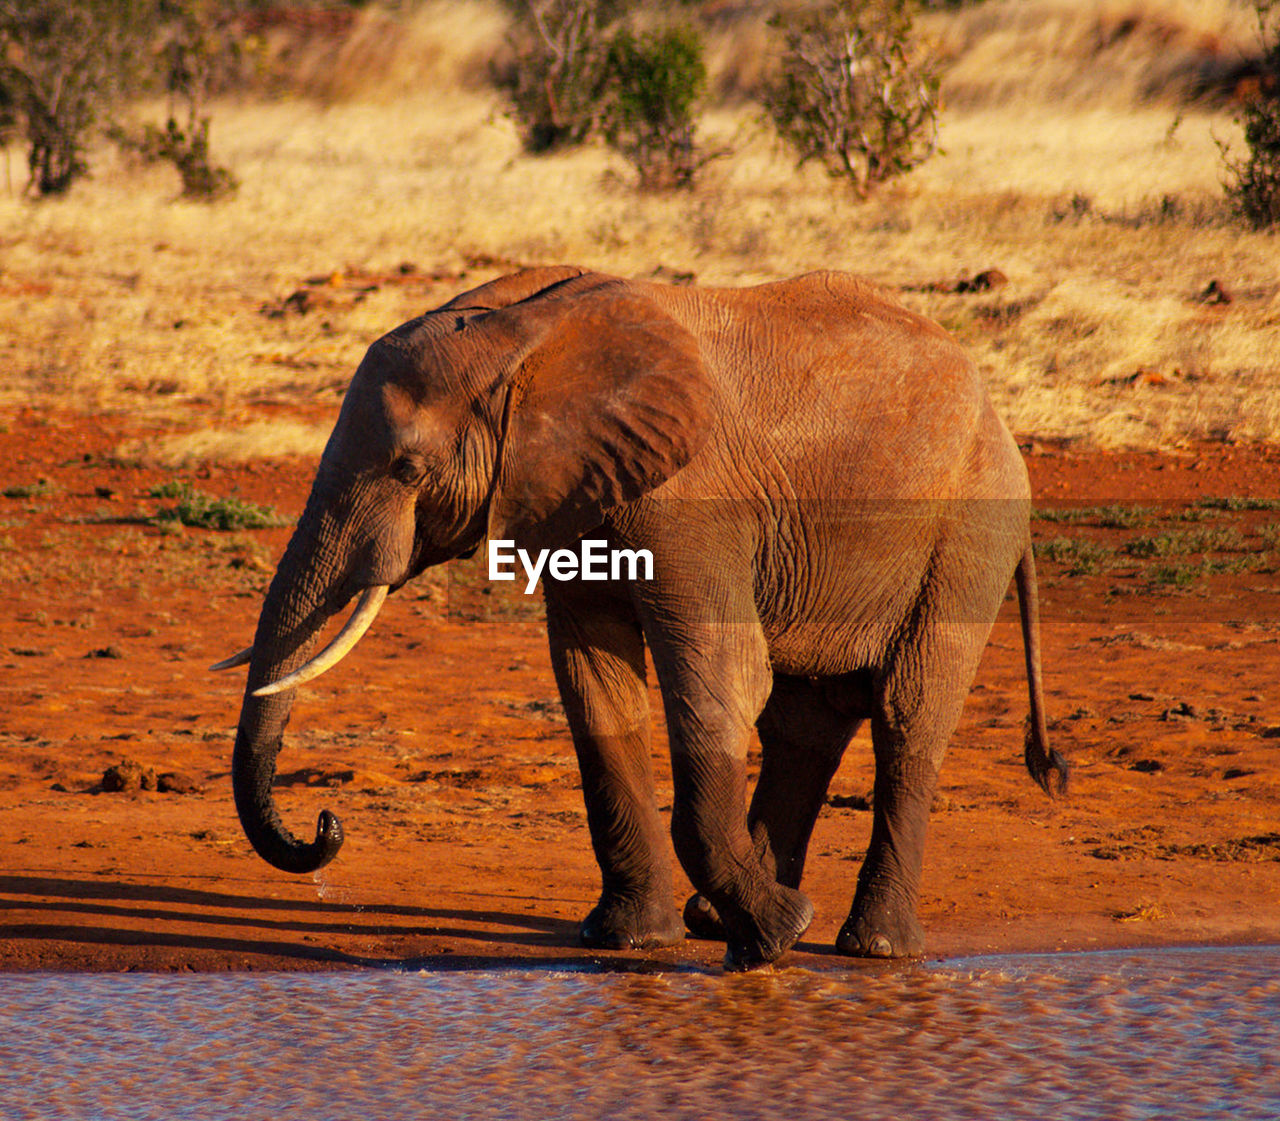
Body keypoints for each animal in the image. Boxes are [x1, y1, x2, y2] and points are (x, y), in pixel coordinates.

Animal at [215, 264, 1064, 972]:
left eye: (406, 469)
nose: (326, 824)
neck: (518, 337)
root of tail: (1002, 422)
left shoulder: (691, 501)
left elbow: (722, 681)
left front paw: (770, 944)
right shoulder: (573, 494)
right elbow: (595, 687)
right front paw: (630, 939)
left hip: (970, 530)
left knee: (907, 715)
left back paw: (872, 947)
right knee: (806, 720)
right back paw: (727, 920)